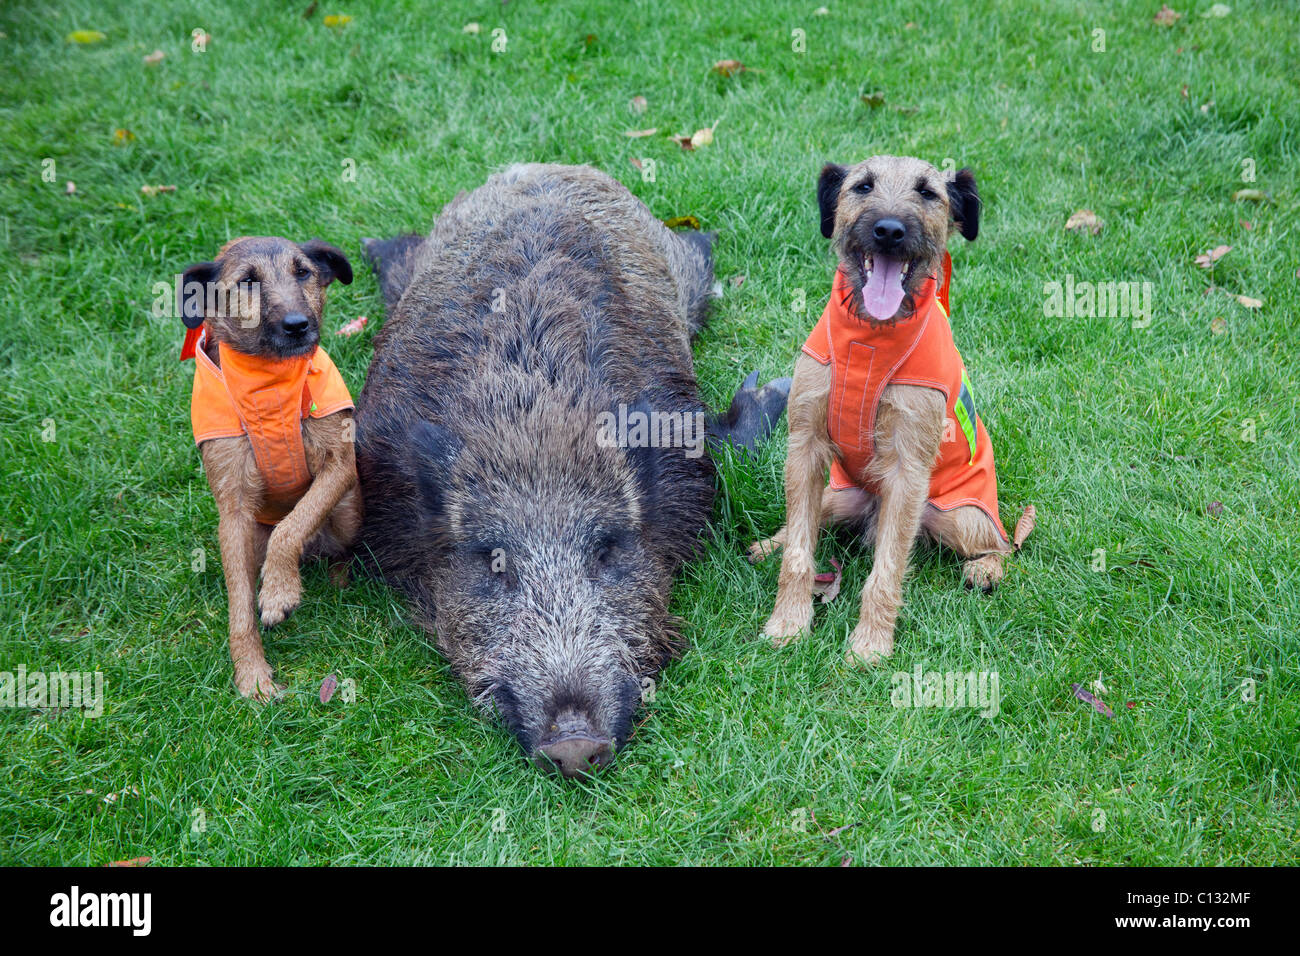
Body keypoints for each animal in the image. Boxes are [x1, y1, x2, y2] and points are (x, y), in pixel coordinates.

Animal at [178, 238, 361, 702]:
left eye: (303, 272)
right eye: (247, 281)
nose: (298, 325)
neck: (267, 381)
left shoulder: (341, 468)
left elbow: (294, 523)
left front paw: (279, 591)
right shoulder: (233, 513)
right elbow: (239, 604)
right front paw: (252, 676)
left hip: (350, 513)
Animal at [754, 155, 1034, 665]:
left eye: (927, 193)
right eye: (863, 186)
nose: (888, 230)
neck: (870, 338)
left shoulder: (908, 471)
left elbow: (885, 571)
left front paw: (870, 646)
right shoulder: (805, 448)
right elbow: (799, 552)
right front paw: (787, 624)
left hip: (958, 516)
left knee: (1004, 543)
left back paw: (986, 570)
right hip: (841, 493)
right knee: (810, 519)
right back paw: (770, 542)